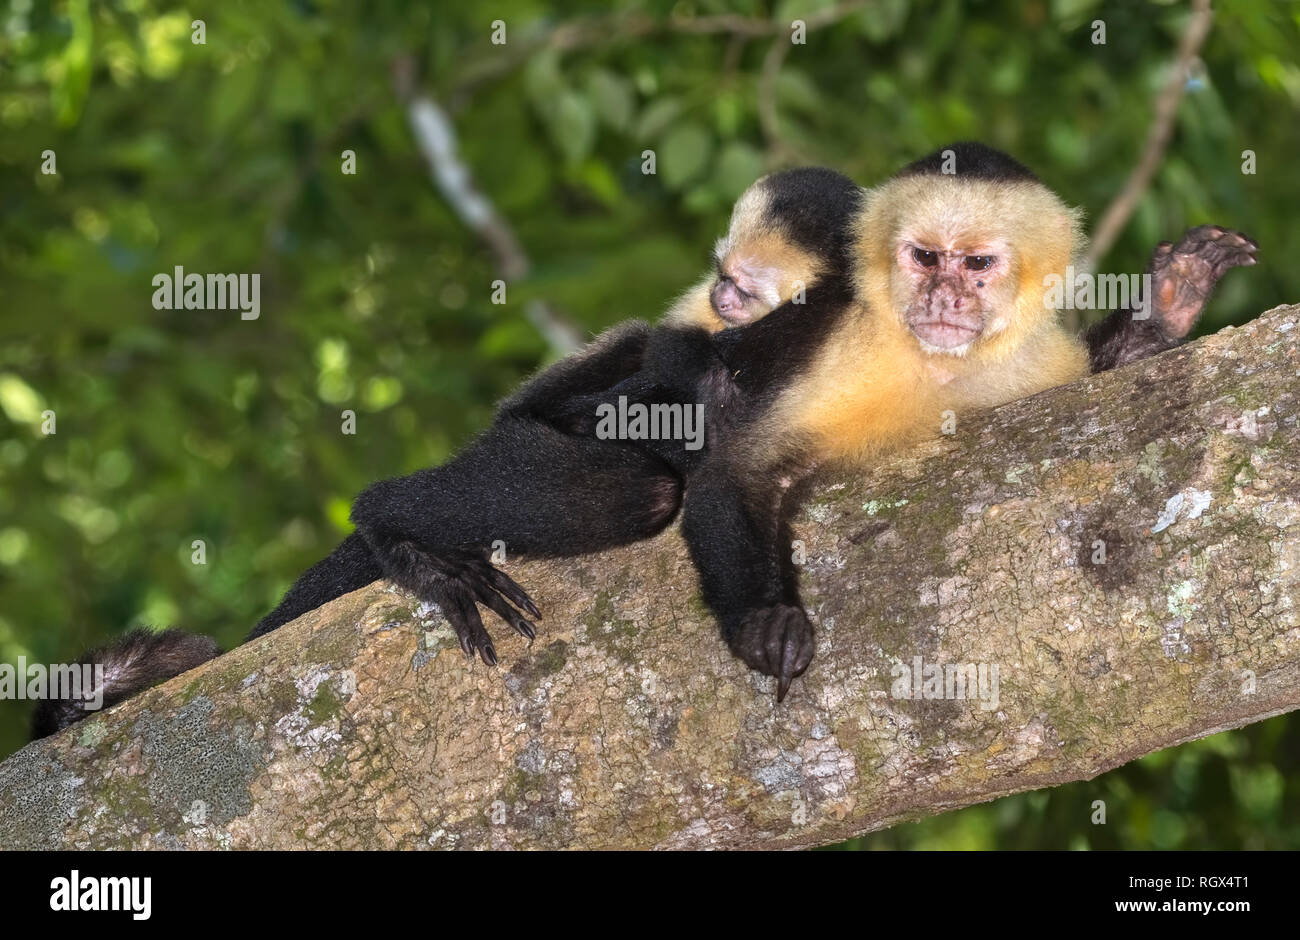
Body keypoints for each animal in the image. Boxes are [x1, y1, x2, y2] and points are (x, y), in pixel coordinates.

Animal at [30, 165, 863, 738]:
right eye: (724, 276)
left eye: (745, 285)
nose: (723, 298)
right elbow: (651, 394)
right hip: (508, 441)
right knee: (623, 460)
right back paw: (397, 533)